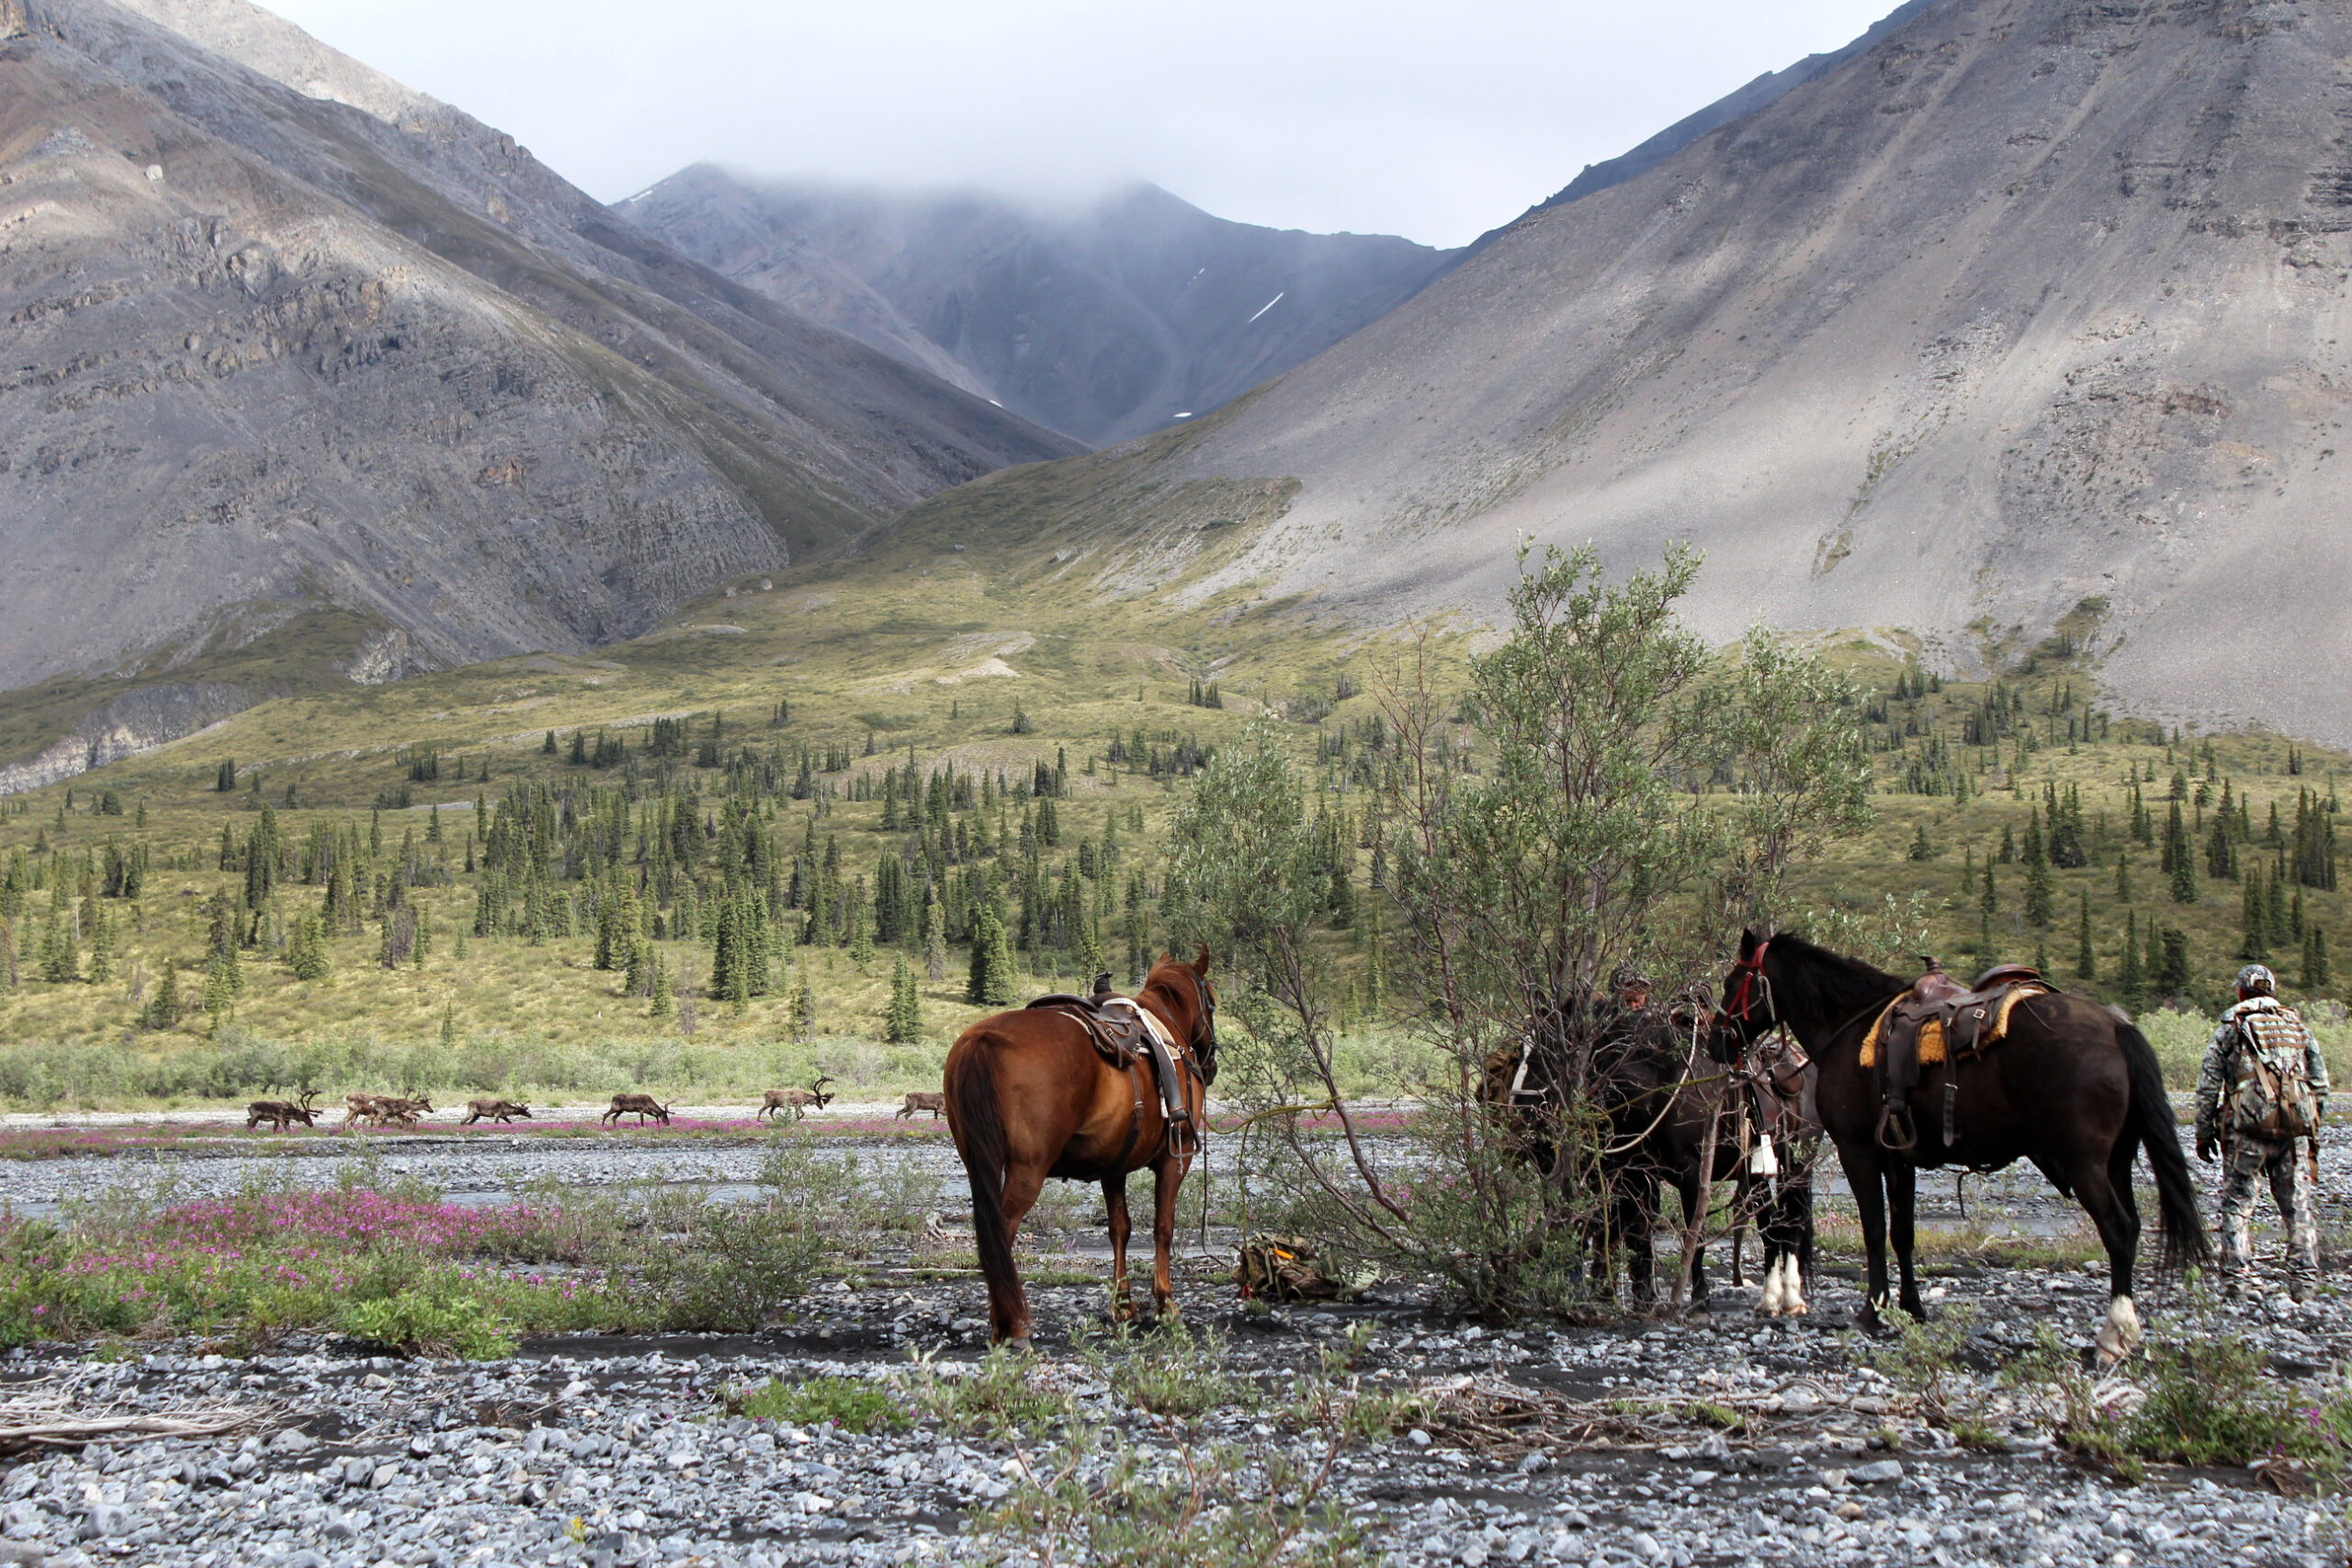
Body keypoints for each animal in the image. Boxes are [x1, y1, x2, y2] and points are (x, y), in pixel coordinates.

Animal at [945, 949, 1223, 1344]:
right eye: (1211, 1002)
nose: (1210, 1065)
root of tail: (983, 1038)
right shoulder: (1176, 1158)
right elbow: (1163, 1227)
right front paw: (1166, 1305)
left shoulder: (1114, 1167)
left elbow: (1119, 1228)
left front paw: (1123, 1305)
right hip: (1027, 1170)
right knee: (1001, 1231)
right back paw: (1011, 1325)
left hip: (977, 1162)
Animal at [1712, 931, 2201, 1363]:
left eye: (1733, 982)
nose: (1717, 1041)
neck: (1848, 1025)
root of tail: (2118, 1026)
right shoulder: (1898, 1156)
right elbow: (1903, 1233)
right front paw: (1911, 1307)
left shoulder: (1859, 1152)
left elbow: (1874, 1231)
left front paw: (1871, 1311)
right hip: (2118, 1161)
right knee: (2132, 1227)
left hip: (2086, 1165)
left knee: (2118, 1230)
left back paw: (2114, 1335)